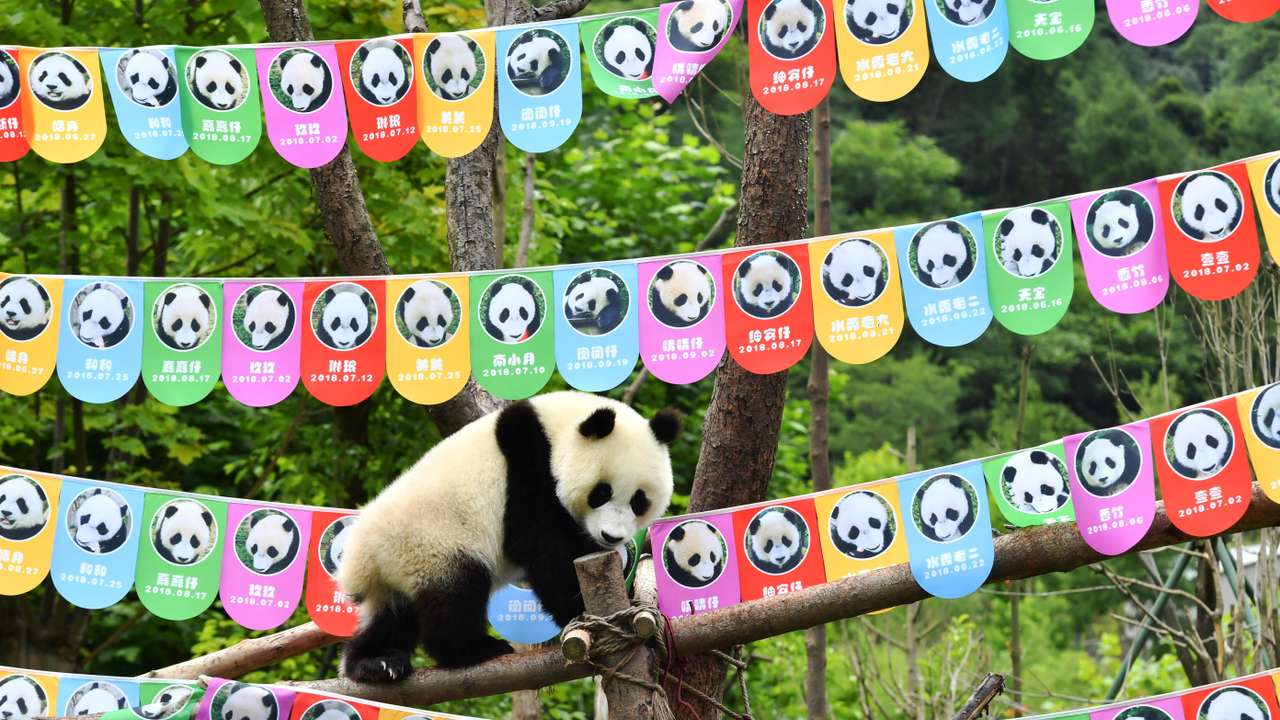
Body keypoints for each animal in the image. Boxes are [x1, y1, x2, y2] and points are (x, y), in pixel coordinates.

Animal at [338, 391, 680, 679]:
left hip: (397, 572)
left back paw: (376, 661)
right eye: (601, 492)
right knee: (456, 595)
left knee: (394, 618)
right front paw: (580, 609)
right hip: (433, 544)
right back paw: (473, 649)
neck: (556, 430)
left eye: (639, 500)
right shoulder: (527, 467)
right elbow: (543, 547)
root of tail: (363, 557)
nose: (610, 536)